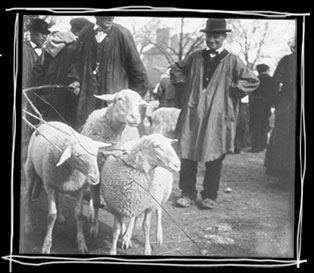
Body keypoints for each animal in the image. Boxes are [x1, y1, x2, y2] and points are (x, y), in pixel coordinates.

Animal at [23, 121, 111, 253]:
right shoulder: (49, 184)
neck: (70, 170)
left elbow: (79, 214)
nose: (95, 179)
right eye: (78, 156)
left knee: (58, 197)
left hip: (57, 182)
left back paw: (60, 217)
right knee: (27, 197)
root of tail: (51, 121)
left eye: (95, 155)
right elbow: (51, 215)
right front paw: (46, 245)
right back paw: (28, 225)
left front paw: (81, 243)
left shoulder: (80, 187)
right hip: (31, 167)